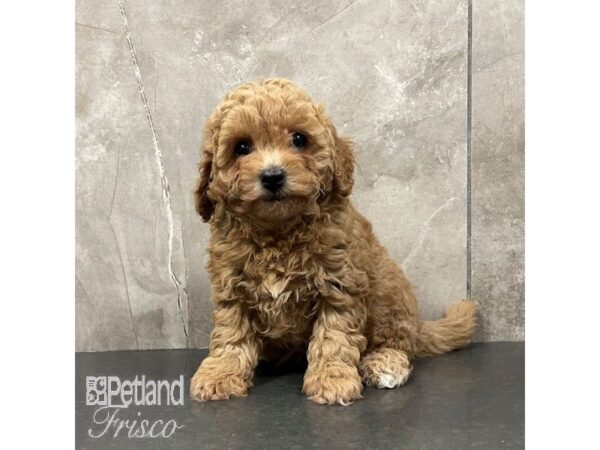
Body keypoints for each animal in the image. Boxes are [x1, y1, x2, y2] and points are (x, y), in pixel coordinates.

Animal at [190, 77, 476, 404]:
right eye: (241, 147)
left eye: (299, 139)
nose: (273, 176)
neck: (278, 231)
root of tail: (418, 326)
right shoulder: (232, 289)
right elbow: (231, 335)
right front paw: (219, 375)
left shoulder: (339, 285)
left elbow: (333, 337)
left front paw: (332, 380)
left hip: (389, 296)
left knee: (398, 343)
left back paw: (385, 364)